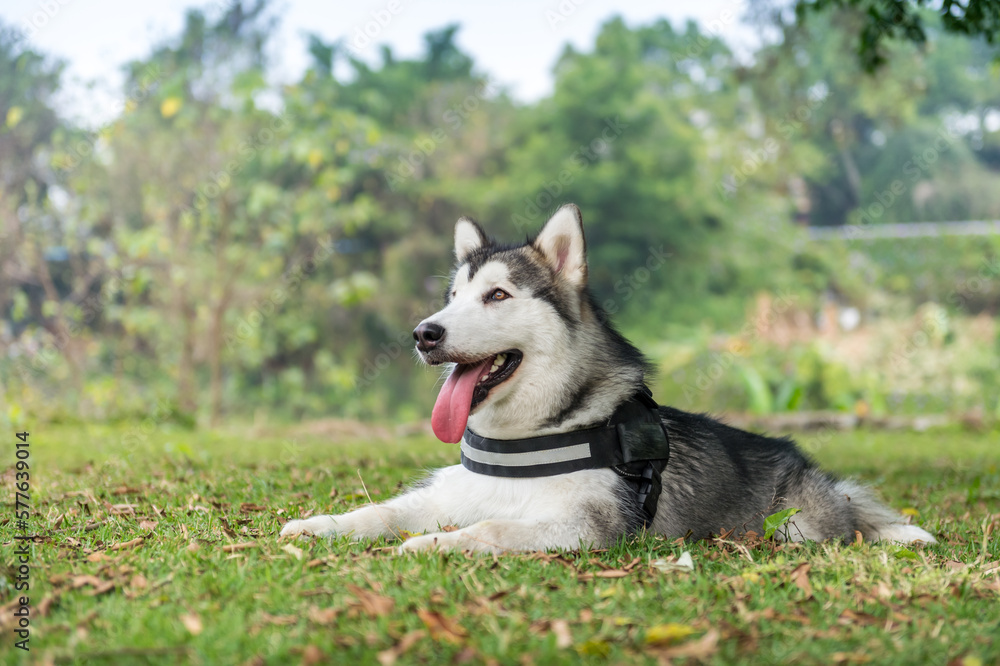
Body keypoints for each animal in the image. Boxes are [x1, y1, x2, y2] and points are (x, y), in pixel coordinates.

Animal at [284, 205, 936, 552]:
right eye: (452, 298)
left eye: (497, 295)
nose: (424, 333)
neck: (528, 436)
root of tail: (818, 475)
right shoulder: (451, 493)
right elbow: (381, 512)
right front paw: (318, 525)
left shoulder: (587, 527)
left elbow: (491, 527)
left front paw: (432, 544)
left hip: (795, 527)